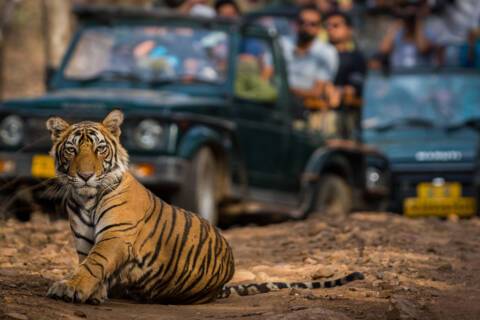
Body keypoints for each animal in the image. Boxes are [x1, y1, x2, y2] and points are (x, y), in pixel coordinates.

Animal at [47, 110, 366, 304]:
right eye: (71, 150)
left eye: (100, 149)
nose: (85, 175)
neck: (86, 199)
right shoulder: (84, 239)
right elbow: (88, 263)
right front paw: (92, 292)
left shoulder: (116, 235)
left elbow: (94, 264)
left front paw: (71, 288)